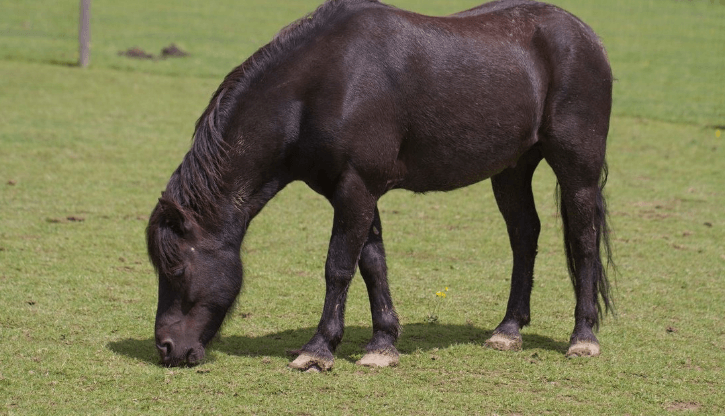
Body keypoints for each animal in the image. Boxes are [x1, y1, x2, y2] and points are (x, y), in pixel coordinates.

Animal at [146, 0, 613, 370]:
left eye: (177, 268)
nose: (167, 348)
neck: (323, 86)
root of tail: (585, 35)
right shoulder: (358, 192)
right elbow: (372, 264)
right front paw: (382, 344)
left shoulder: (355, 189)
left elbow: (338, 267)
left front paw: (318, 349)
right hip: (512, 169)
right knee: (524, 236)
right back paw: (509, 329)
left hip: (578, 168)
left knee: (584, 240)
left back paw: (584, 337)